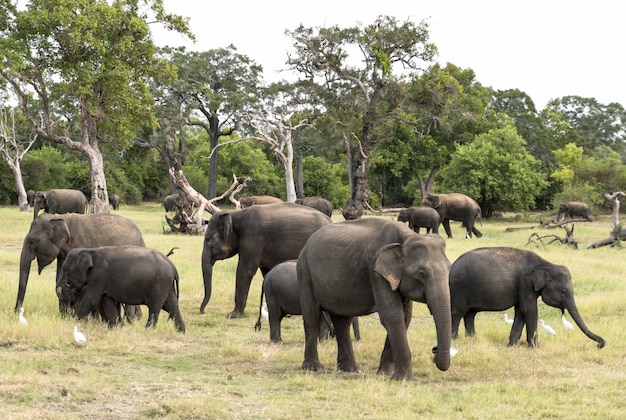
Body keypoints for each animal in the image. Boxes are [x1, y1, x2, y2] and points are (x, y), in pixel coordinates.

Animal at [16, 212, 145, 314]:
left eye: (32, 241)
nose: (16, 312)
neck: (60, 217)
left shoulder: (79, 245)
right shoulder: (63, 254)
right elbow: (59, 279)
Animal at [202, 202, 334, 316]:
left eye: (208, 239)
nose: (202, 311)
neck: (235, 214)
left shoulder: (253, 238)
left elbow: (245, 270)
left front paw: (233, 315)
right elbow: (267, 273)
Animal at [294, 217, 450, 380]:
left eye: (449, 268)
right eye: (421, 273)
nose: (434, 350)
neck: (406, 237)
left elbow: (405, 317)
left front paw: (384, 374)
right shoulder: (375, 272)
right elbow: (393, 315)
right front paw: (404, 379)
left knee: (343, 322)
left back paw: (351, 369)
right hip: (304, 273)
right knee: (312, 317)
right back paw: (313, 368)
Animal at [448, 248, 604, 350]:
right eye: (564, 292)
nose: (599, 344)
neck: (546, 264)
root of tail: (452, 267)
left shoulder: (523, 288)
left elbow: (521, 312)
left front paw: (511, 346)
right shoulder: (525, 283)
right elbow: (529, 310)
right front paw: (536, 347)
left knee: (470, 314)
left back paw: (472, 340)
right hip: (459, 289)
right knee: (458, 313)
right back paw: (454, 340)